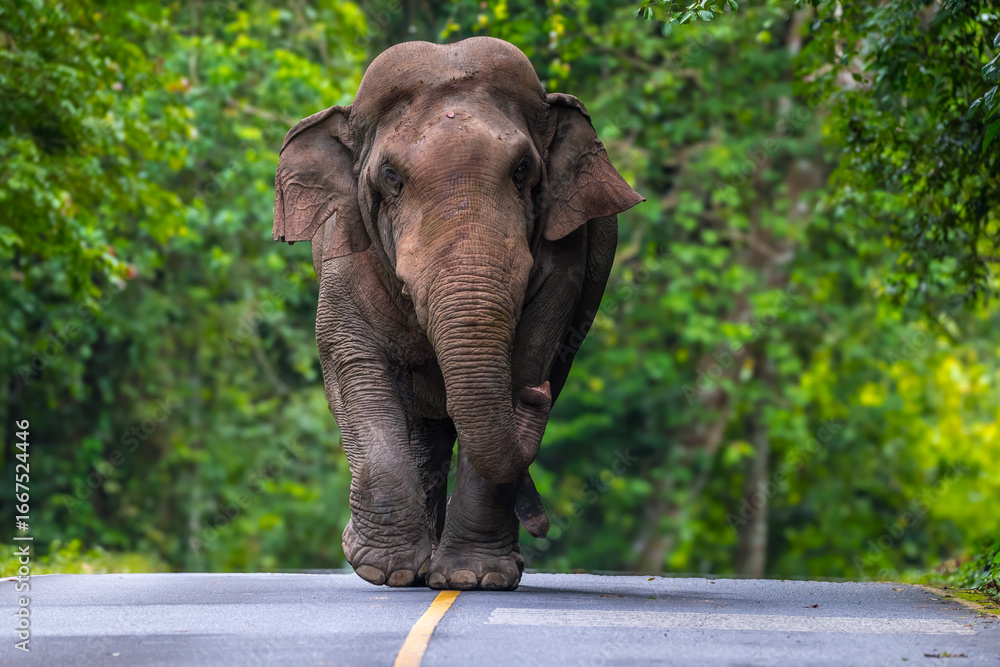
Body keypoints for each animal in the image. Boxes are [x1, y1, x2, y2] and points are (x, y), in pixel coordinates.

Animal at [272, 36, 642, 590]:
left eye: (522, 170)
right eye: (391, 177)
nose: (538, 396)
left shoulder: (565, 259)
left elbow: (526, 358)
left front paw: (473, 578)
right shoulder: (343, 246)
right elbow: (354, 364)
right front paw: (381, 570)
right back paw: (415, 571)